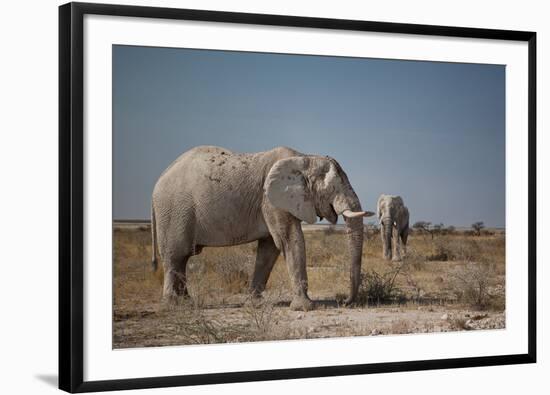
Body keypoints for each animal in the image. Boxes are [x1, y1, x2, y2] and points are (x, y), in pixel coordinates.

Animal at [151, 146, 376, 312]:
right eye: (333, 189)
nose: (345, 302)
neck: (304, 158)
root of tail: (159, 178)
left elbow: (270, 249)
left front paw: (255, 304)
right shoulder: (271, 200)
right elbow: (289, 240)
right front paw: (305, 308)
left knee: (182, 259)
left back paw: (186, 302)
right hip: (174, 211)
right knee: (175, 256)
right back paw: (173, 306)